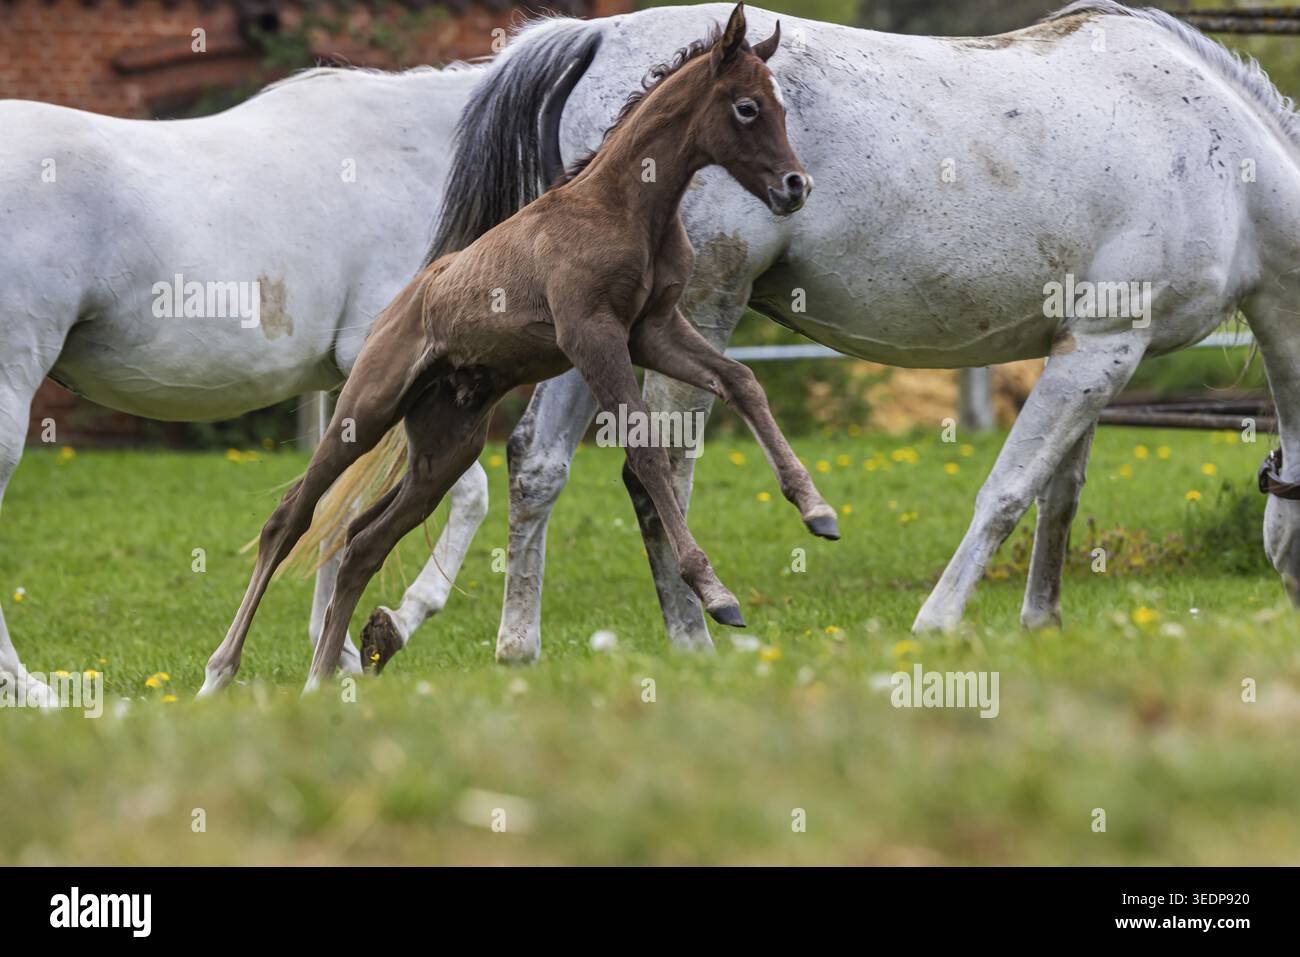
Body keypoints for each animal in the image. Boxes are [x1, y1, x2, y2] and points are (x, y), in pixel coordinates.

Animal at [0, 55, 497, 702]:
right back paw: (30, 689)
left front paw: (337, 653)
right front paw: (391, 627)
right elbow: (464, 494)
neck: (433, 151)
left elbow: (336, 512)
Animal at [199, 2, 838, 695]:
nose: (796, 186)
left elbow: (741, 381)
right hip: (365, 409)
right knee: (290, 518)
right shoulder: (592, 335)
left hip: (445, 447)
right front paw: (717, 593)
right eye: (747, 107)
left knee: (363, 545)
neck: (624, 207)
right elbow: (646, 449)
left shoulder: (654, 331)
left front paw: (816, 509)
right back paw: (221, 672)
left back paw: (322, 681)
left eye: (781, 105)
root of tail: (395, 309)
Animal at [340, 0, 1300, 666]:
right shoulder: (1101, 349)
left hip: (591, 334)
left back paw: (519, 648)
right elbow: (1010, 491)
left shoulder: (1093, 356)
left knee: (539, 462)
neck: (1223, 154)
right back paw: (697, 636)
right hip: (689, 318)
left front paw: (1042, 623)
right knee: (658, 471)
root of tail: (596, 39)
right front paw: (940, 621)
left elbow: (1058, 496)